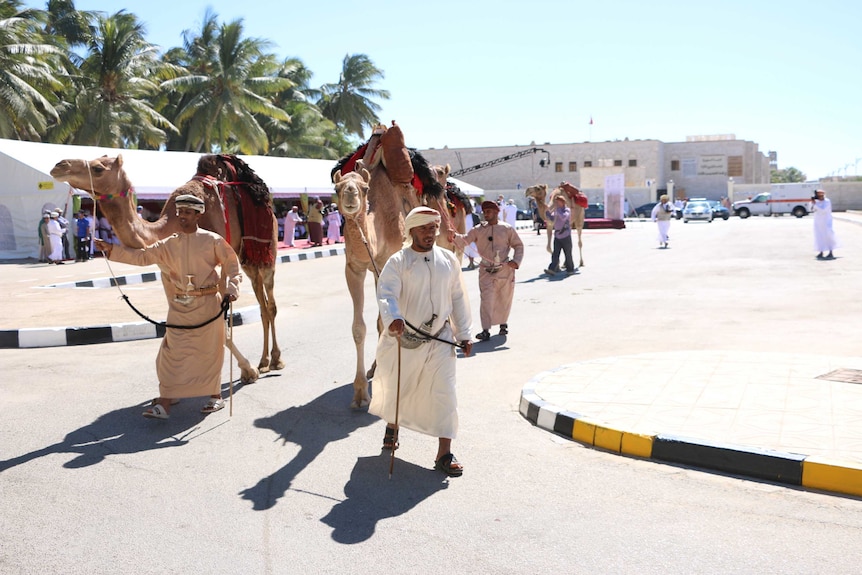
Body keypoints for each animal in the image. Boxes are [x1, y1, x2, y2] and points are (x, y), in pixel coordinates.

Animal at [49, 153, 286, 382]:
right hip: (247, 260)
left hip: (266, 250)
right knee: (262, 304)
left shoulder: (217, 263)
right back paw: (264, 361)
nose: (59, 166)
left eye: (98, 168)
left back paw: (275, 360)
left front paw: (248, 370)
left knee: (271, 303)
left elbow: (219, 317)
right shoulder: (166, 270)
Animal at [332, 121, 446, 410]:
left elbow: (387, 321)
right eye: (337, 189)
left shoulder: (388, 263)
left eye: (363, 188)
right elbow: (359, 327)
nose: (351, 196)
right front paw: (360, 392)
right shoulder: (355, 267)